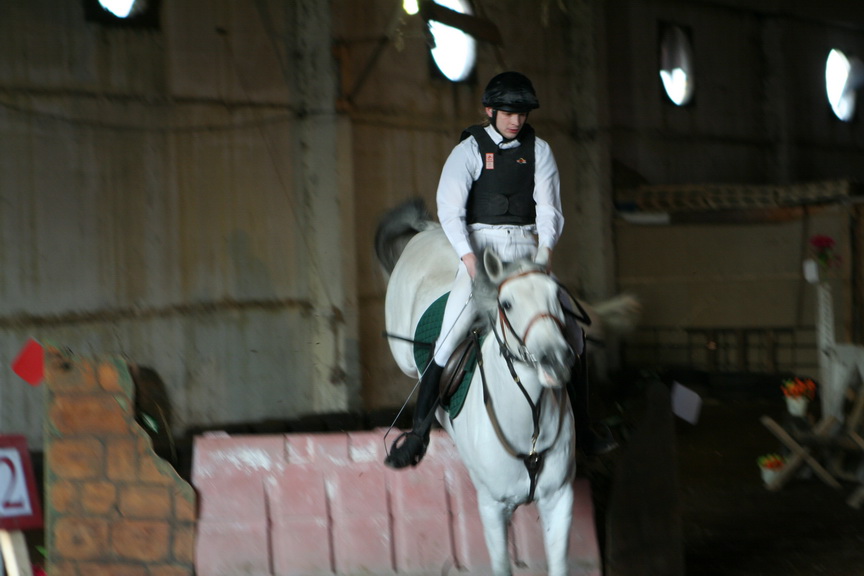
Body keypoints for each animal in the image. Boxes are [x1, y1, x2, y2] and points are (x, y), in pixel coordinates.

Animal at [376, 199, 584, 576]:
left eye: (555, 297)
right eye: (507, 304)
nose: (556, 360)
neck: (530, 420)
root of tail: (428, 231)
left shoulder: (560, 499)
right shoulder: (492, 507)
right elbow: (501, 565)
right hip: (404, 350)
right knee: (426, 361)